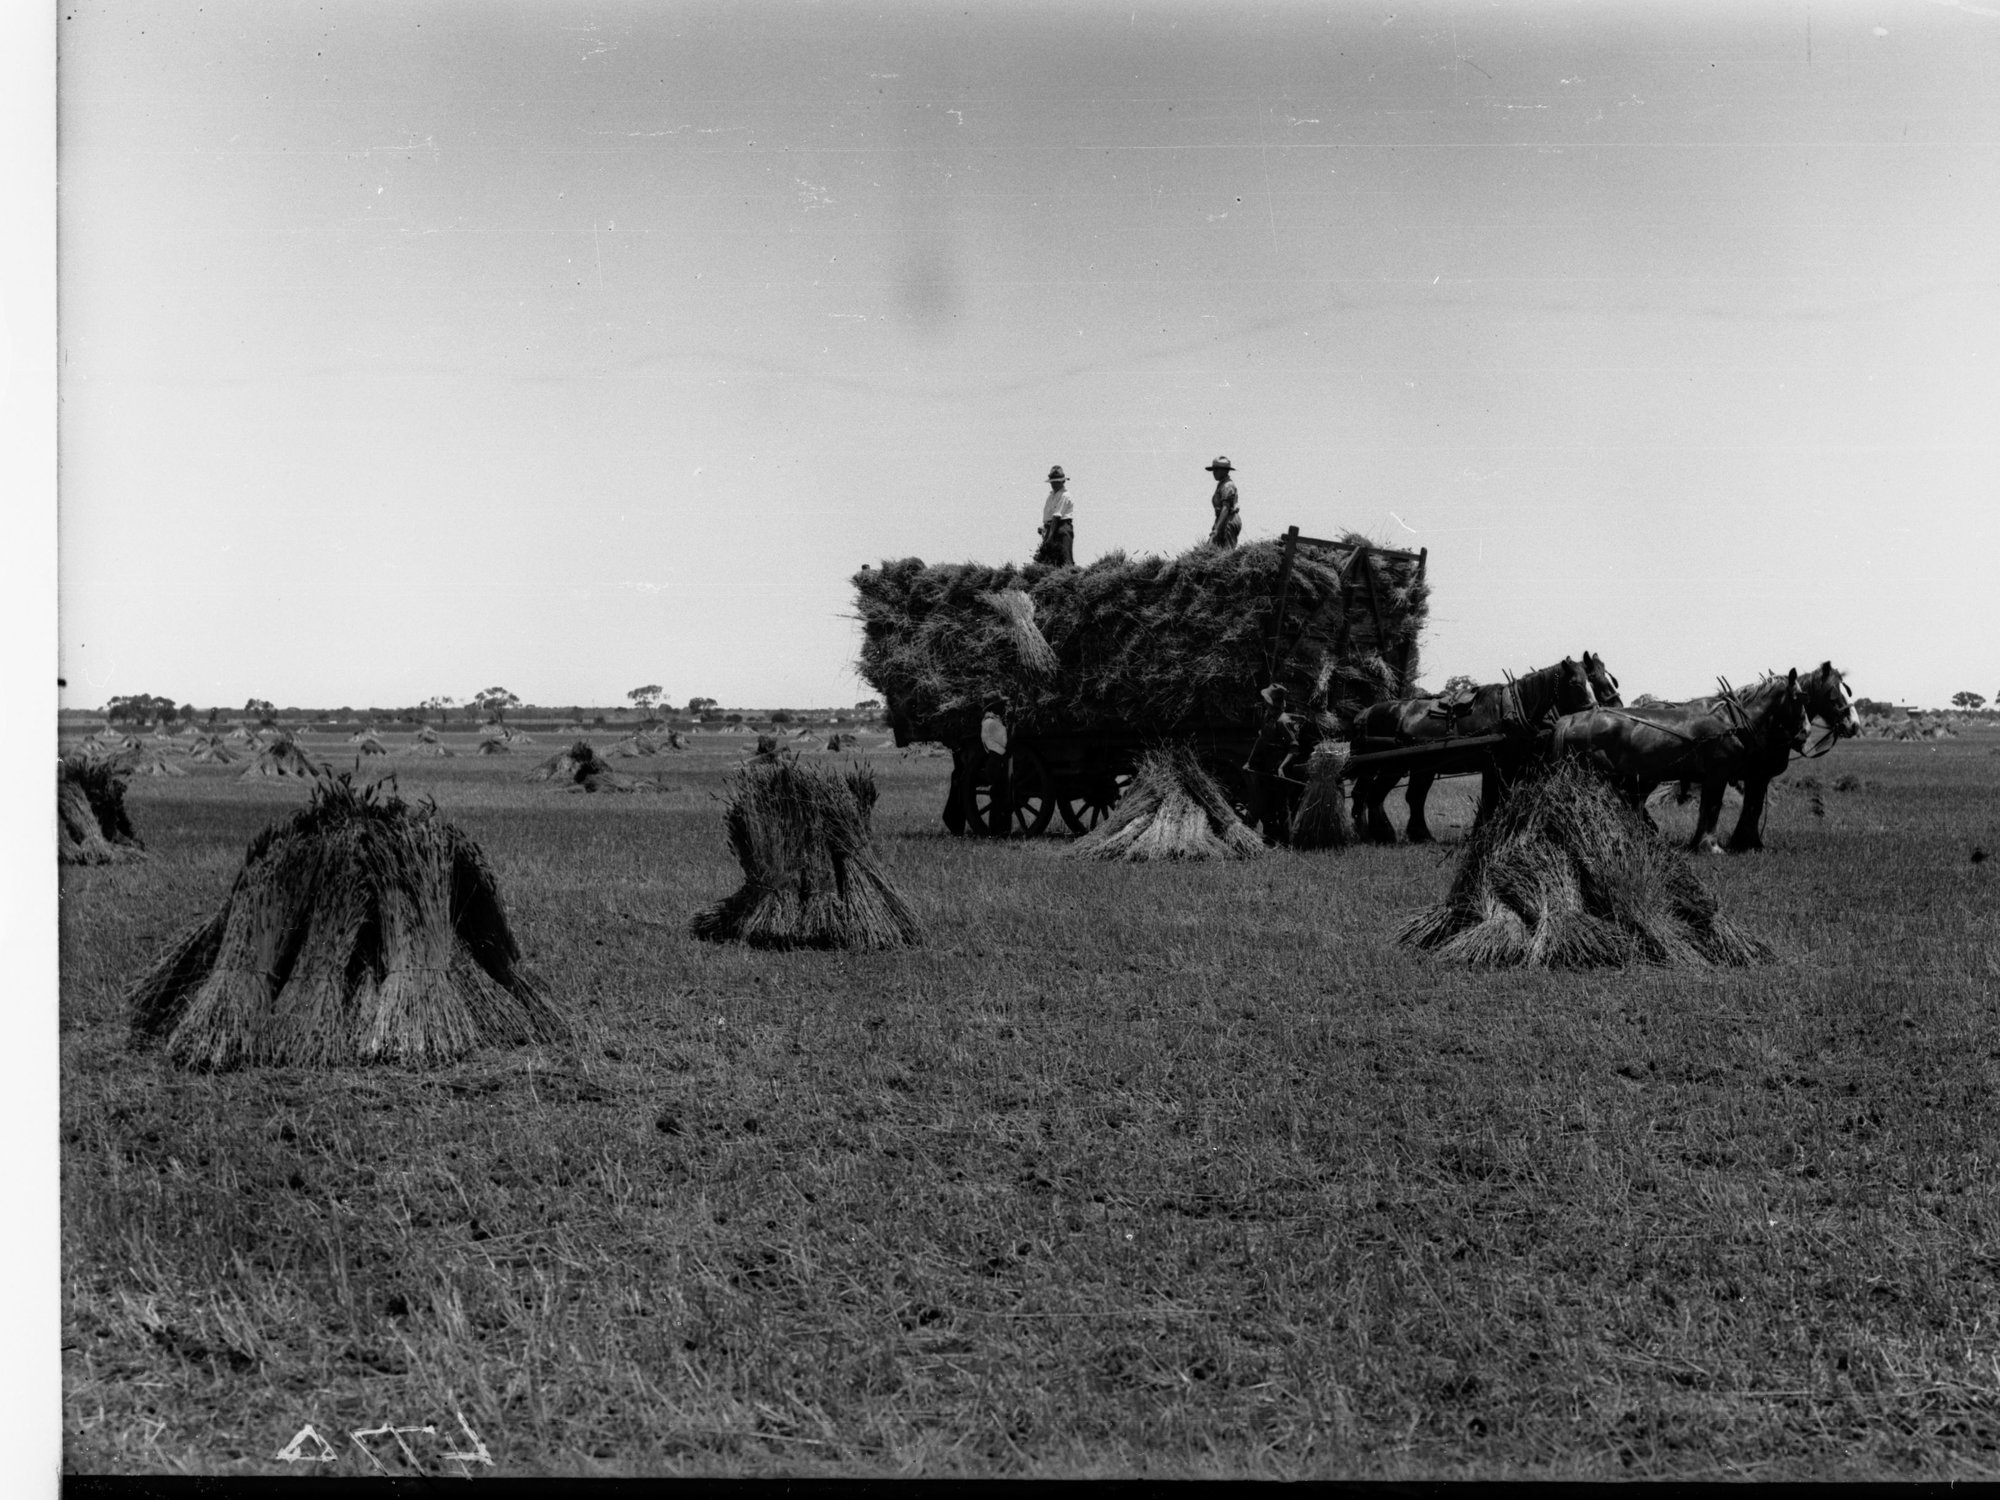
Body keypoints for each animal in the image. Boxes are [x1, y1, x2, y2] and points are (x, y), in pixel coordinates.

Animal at [1346, 656, 1600, 844]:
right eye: (1574, 683)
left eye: (1592, 682)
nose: (1594, 710)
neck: (1512, 709)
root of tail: (1365, 713)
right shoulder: (1494, 764)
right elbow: (1490, 798)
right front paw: (1482, 831)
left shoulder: (1512, 765)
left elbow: (1502, 797)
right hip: (1391, 766)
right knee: (1375, 795)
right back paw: (1382, 834)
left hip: (1416, 767)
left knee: (1401, 797)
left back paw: (1410, 834)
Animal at [1550, 669, 1823, 853]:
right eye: (1801, 698)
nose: (1806, 732)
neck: (1731, 723)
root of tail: (1570, 720)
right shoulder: (1717, 775)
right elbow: (1712, 808)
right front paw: (1711, 846)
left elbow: (1706, 809)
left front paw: (1699, 844)